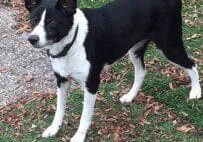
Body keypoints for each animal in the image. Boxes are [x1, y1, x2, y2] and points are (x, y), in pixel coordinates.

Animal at [24, 0, 201, 141]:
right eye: (33, 20)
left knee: (192, 64)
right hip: (135, 50)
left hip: (169, 46)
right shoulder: (62, 80)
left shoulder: (92, 84)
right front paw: (54, 129)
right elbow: (59, 108)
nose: (32, 39)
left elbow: (85, 116)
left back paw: (196, 92)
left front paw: (79, 136)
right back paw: (130, 96)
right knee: (142, 71)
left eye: (52, 22)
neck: (71, 41)